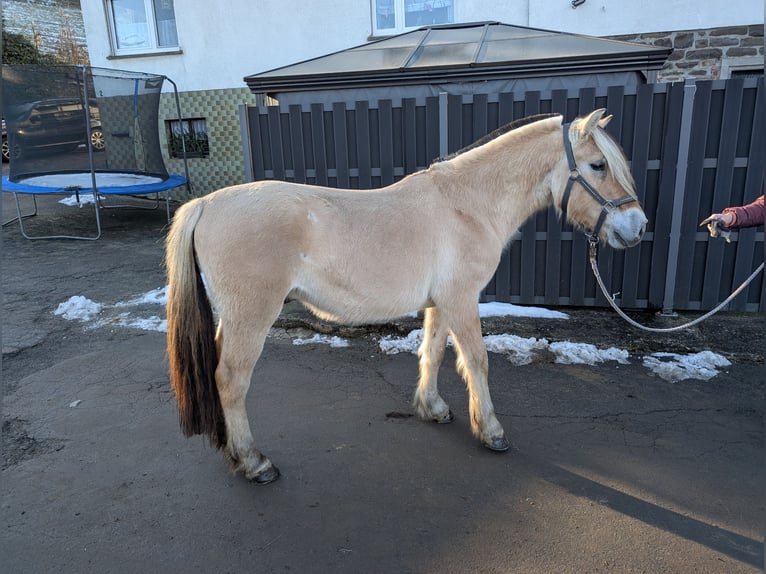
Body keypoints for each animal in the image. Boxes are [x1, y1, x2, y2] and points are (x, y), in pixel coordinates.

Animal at [166, 109, 648, 486]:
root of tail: (206, 204)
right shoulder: (462, 299)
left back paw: (234, 452)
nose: (638, 227)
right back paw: (254, 462)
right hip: (252, 316)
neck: (467, 204)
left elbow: (432, 353)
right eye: (597, 165)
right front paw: (491, 432)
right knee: (231, 380)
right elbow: (477, 361)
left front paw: (432, 408)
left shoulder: (441, 303)